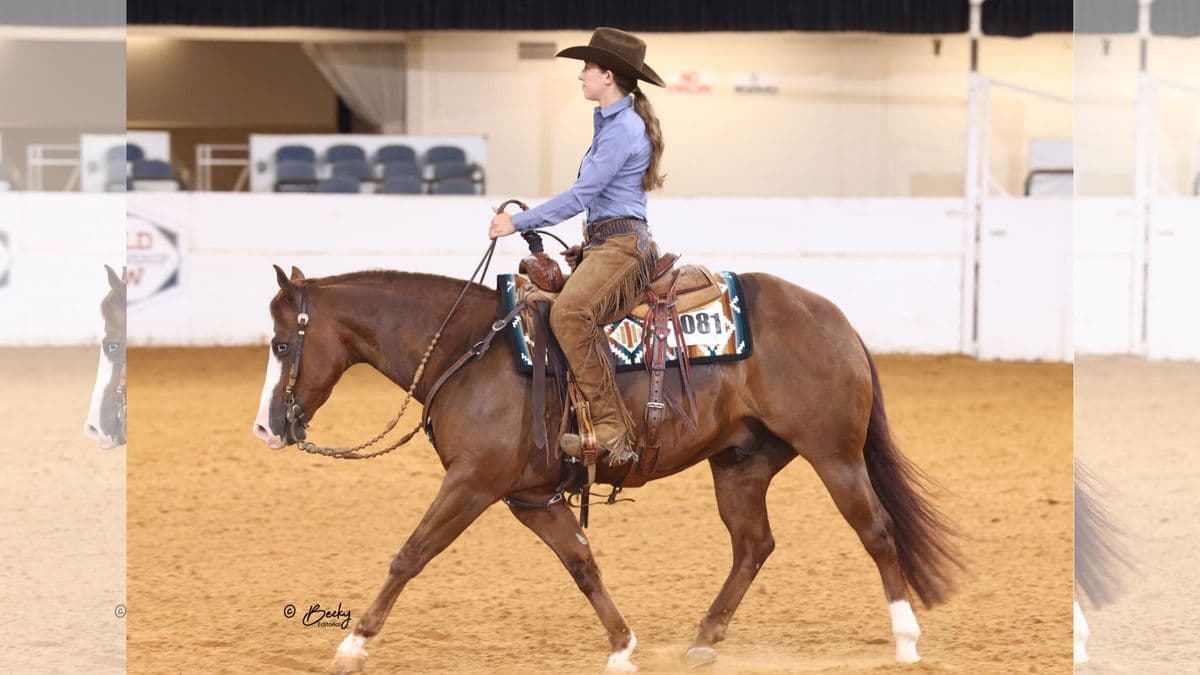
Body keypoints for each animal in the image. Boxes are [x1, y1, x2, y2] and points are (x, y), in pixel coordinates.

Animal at [251, 263, 964, 673]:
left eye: (283, 343)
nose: (266, 428)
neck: (469, 350)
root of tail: (836, 320)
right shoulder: (530, 496)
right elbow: (581, 561)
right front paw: (622, 646)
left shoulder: (473, 482)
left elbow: (411, 552)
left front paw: (353, 645)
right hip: (741, 462)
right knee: (754, 544)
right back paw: (704, 638)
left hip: (834, 454)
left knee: (876, 531)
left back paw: (906, 639)